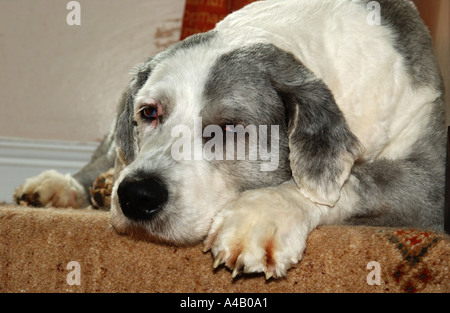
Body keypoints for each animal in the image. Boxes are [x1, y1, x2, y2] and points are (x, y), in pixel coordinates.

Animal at [14, 0, 446, 278]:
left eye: (228, 128)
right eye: (149, 112)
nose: (136, 195)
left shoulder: (433, 183)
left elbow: (356, 179)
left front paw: (263, 214)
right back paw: (64, 187)